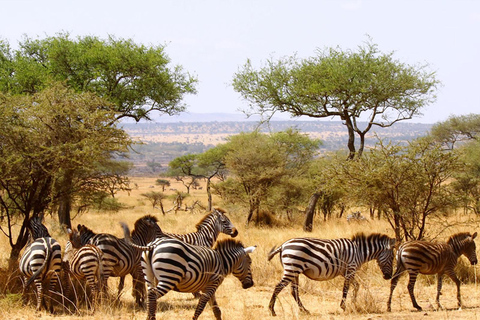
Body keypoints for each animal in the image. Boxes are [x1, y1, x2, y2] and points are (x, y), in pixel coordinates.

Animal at [118, 221, 256, 320]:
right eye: (250, 263)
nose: (250, 285)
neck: (222, 262)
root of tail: (153, 245)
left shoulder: (209, 287)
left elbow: (216, 310)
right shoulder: (212, 285)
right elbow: (200, 308)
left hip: (148, 275)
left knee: (149, 295)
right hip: (169, 277)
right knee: (153, 296)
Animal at [268, 232, 396, 316]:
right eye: (392, 258)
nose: (388, 277)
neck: (360, 252)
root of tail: (283, 245)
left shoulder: (346, 271)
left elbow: (356, 286)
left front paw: (354, 304)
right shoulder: (351, 268)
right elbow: (346, 288)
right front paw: (343, 306)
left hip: (295, 271)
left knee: (294, 291)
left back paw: (304, 310)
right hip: (292, 269)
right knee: (278, 287)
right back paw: (272, 310)